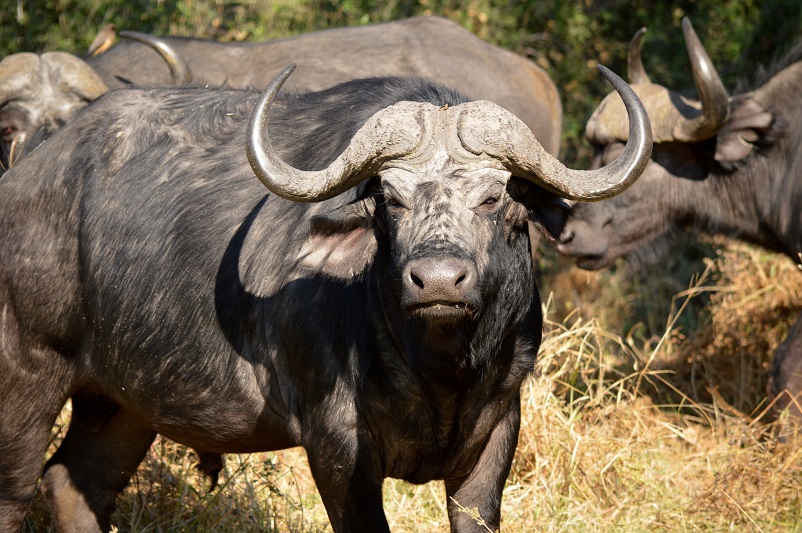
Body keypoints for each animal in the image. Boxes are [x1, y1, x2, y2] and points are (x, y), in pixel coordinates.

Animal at [0, 64, 648, 528]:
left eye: (495, 198)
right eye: (390, 199)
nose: (438, 280)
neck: (434, 369)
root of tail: (24, 179)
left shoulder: (495, 440)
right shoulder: (337, 448)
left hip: (124, 401)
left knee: (76, 483)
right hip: (28, 376)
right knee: (16, 490)